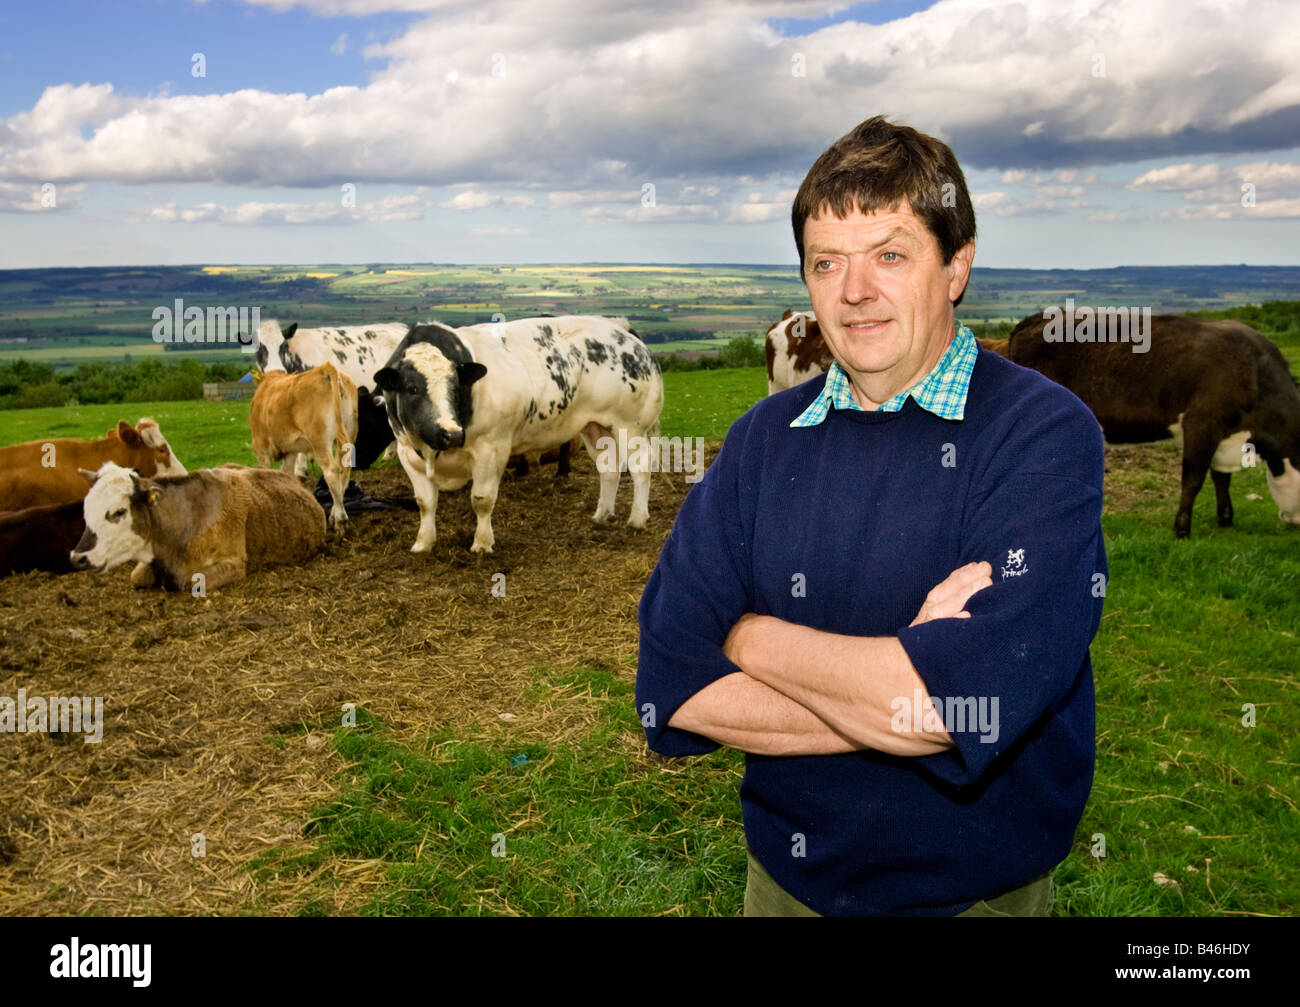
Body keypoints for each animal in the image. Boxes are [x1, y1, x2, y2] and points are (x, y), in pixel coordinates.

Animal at [68, 462, 327, 595]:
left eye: (118, 512)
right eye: (86, 508)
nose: (77, 557)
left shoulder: (233, 563)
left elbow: (190, 583)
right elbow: (137, 576)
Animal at [374, 314, 660, 550]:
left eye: (456, 386)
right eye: (412, 388)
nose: (451, 434)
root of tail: (620, 329)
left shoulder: (492, 448)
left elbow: (481, 499)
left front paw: (482, 544)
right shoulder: (407, 453)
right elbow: (425, 503)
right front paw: (423, 543)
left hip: (629, 426)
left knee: (641, 465)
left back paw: (637, 518)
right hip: (595, 426)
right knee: (608, 467)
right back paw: (602, 514)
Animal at [1008, 306, 1300, 540]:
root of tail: (1035, 319)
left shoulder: (1223, 436)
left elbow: (1221, 480)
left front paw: (1226, 520)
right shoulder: (1201, 424)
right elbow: (1193, 481)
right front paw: (1182, 530)